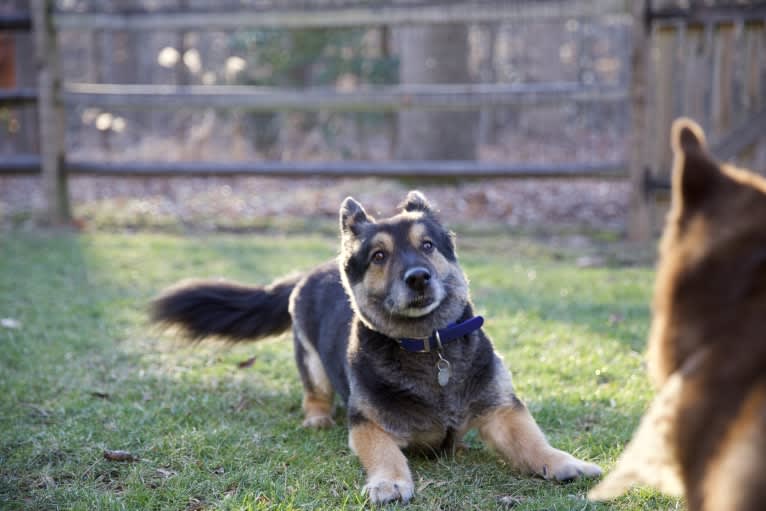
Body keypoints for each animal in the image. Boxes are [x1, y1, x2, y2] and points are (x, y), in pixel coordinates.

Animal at [152, 191, 608, 504]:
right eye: (378, 256)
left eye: (428, 246)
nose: (419, 278)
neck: (428, 347)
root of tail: (312, 269)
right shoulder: (368, 424)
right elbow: (386, 453)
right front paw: (389, 481)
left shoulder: (502, 411)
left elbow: (533, 441)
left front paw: (563, 462)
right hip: (311, 362)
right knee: (314, 393)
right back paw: (317, 417)